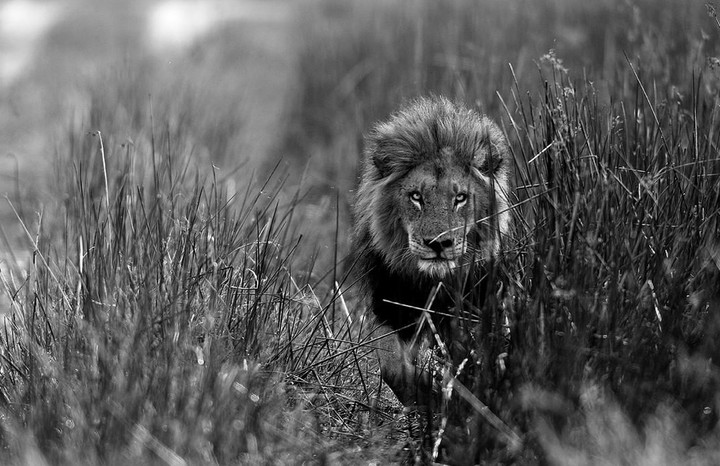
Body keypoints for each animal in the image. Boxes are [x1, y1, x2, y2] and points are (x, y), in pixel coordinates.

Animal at [352, 96, 512, 408]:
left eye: (460, 198)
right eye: (416, 197)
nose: (437, 244)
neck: (431, 282)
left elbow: (472, 356)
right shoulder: (389, 304)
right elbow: (392, 365)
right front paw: (424, 391)